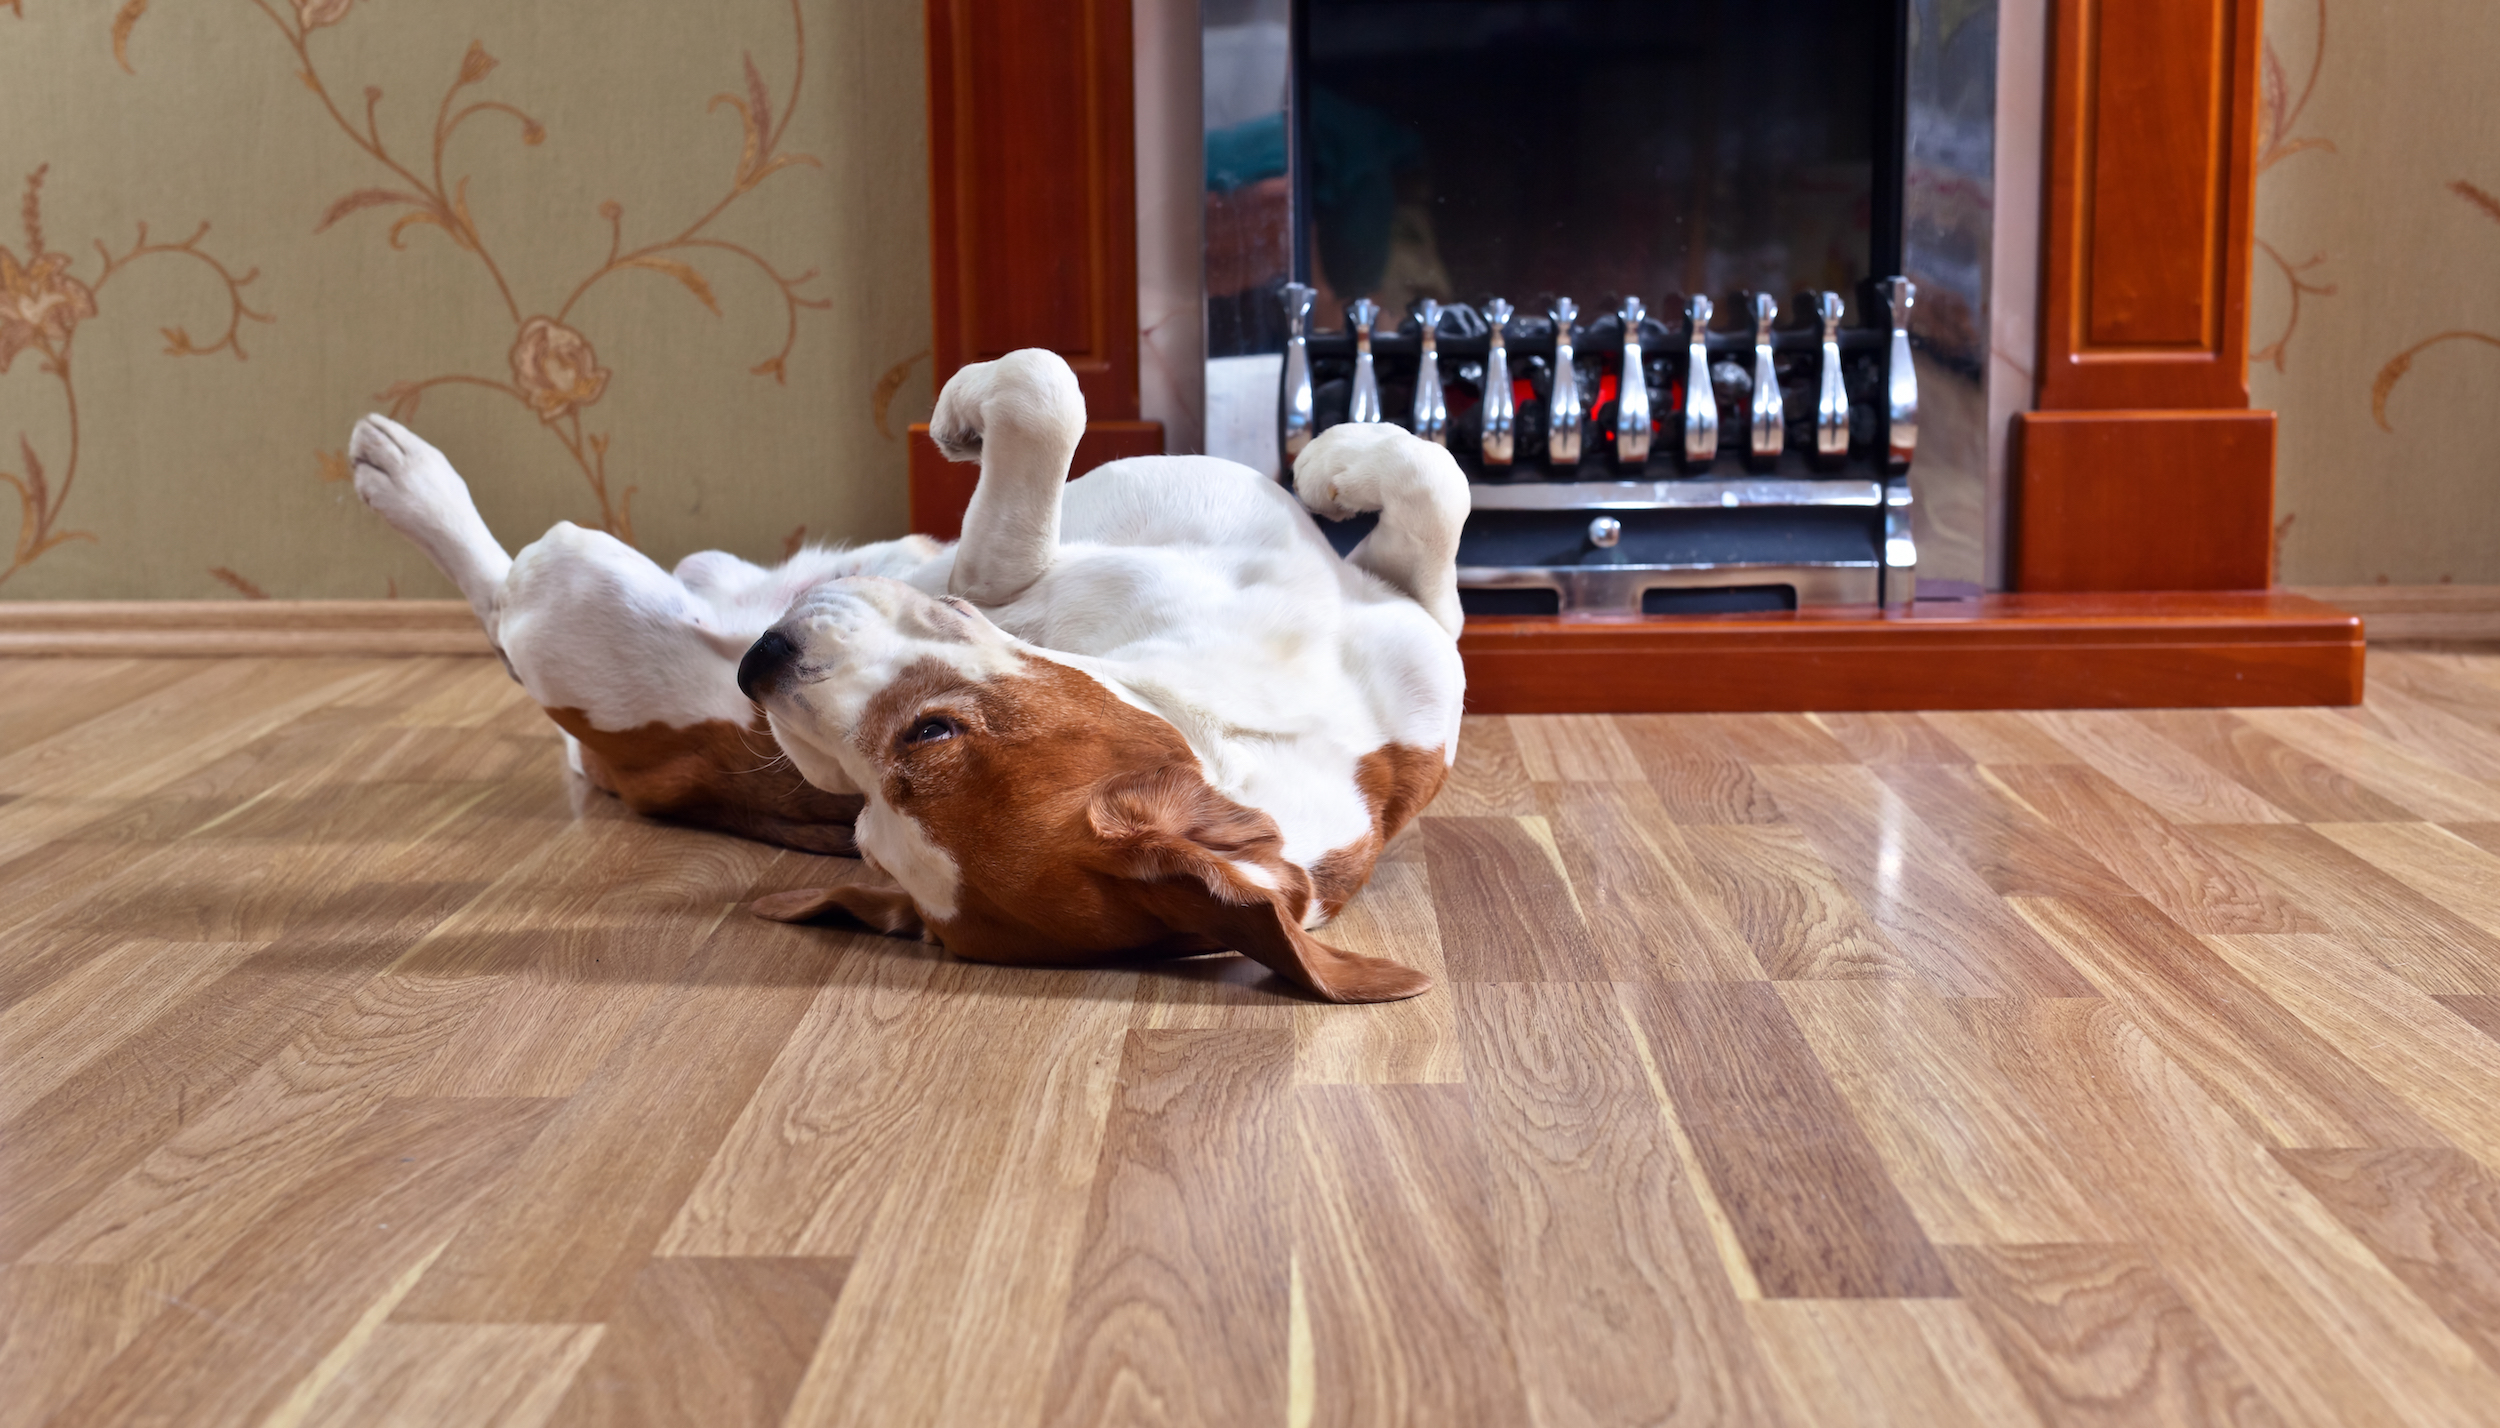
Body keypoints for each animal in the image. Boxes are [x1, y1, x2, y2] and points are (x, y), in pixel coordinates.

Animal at [362, 342, 1470, 1005]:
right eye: (855, 828)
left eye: (928, 733)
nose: (764, 663)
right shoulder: (1414, 624)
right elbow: (1438, 484)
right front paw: (1337, 459)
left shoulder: (995, 573)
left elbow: (1047, 394)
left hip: (577, 584)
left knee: (502, 598)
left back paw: (405, 475)